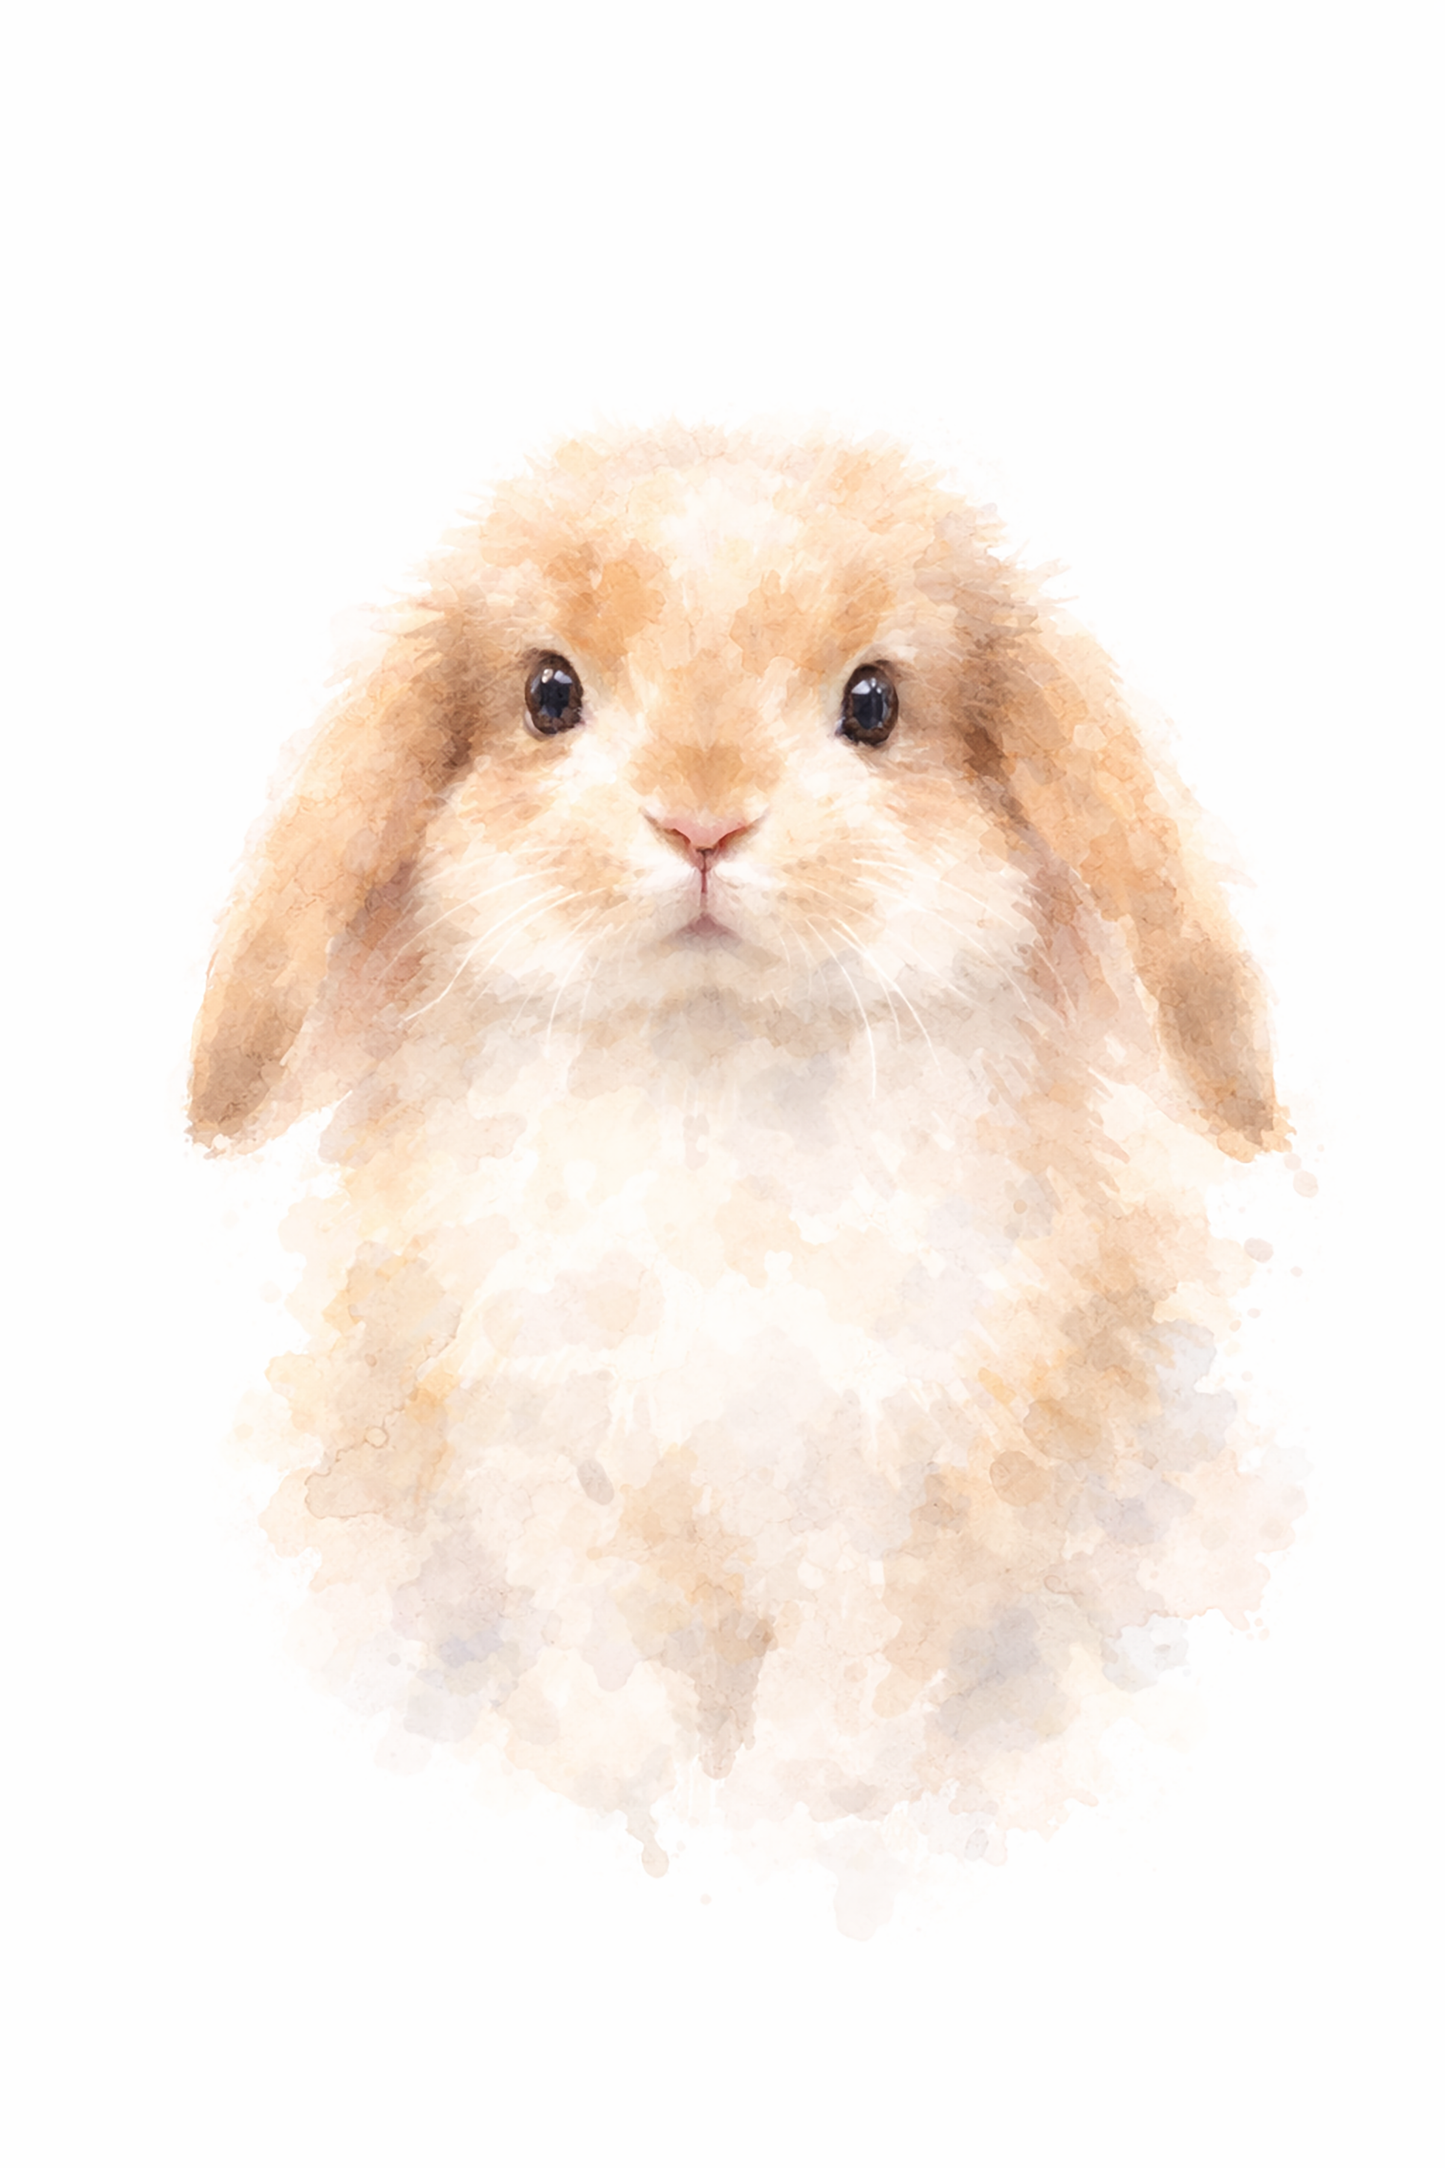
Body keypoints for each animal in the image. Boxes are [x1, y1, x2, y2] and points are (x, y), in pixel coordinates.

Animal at [192, 424, 1300, 1906]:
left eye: (873, 703)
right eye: (549, 693)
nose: (702, 822)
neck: (713, 1065)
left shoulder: (907, 1515)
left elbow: (838, 1713)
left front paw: (787, 1846)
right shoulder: (544, 1493)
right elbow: (612, 1698)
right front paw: (658, 1831)